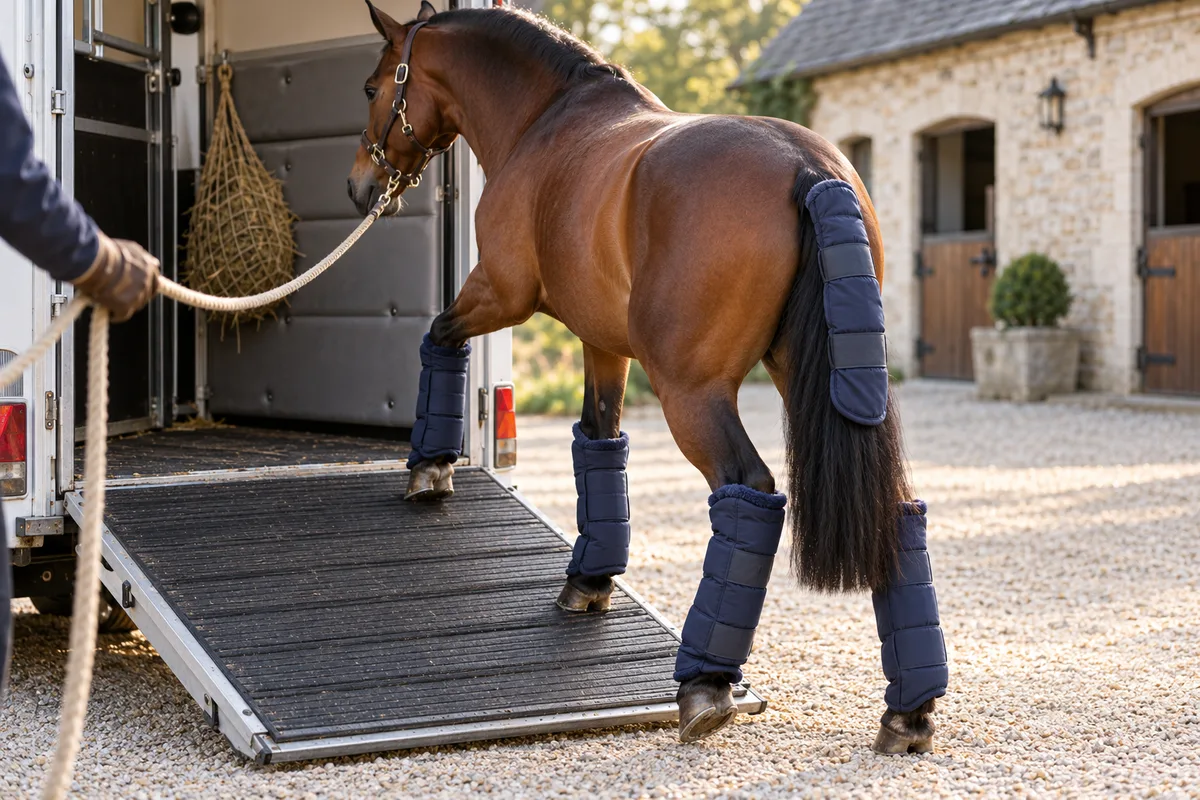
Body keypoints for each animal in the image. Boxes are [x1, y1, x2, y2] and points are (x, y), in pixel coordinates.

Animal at [348, 0, 948, 752]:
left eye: (373, 87)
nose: (361, 187)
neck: (544, 120)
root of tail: (809, 170)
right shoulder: (604, 344)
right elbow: (599, 440)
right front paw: (589, 580)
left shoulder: (500, 291)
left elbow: (438, 335)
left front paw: (430, 469)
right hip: (830, 384)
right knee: (892, 508)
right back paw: (908, 712)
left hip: (690, 391)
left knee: (749, 488)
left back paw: (705, 685)